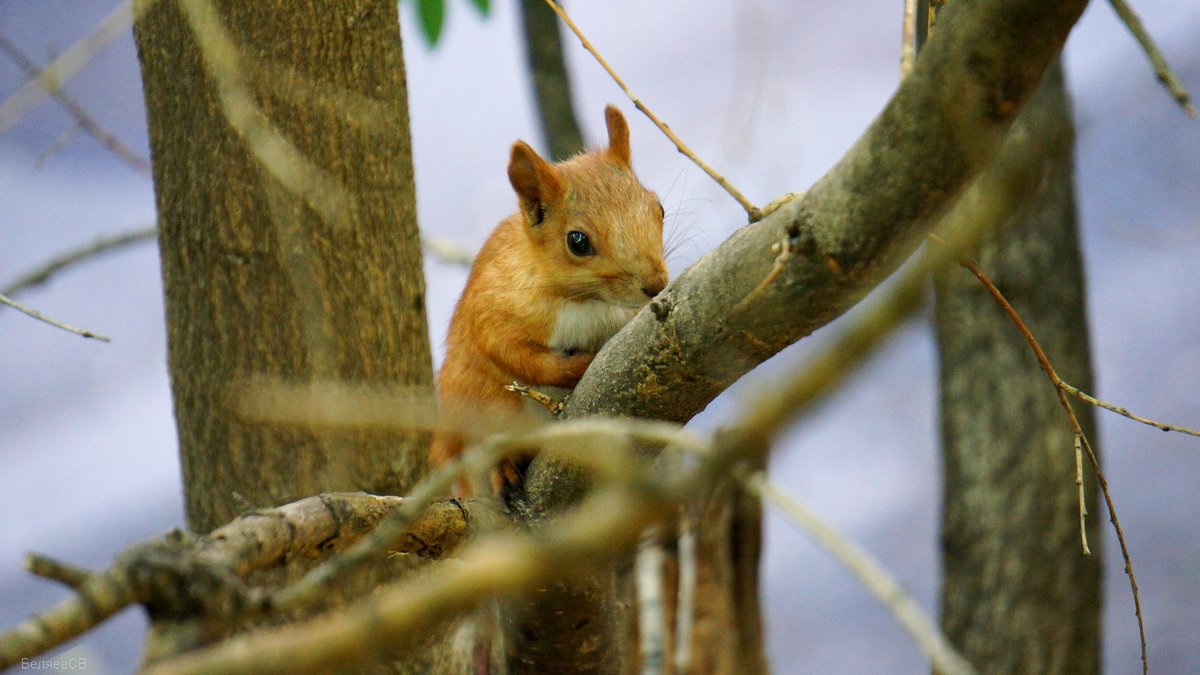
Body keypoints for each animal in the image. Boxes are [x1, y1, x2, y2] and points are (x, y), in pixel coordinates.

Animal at [432, 106, 672, 494]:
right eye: (577, 241)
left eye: (658, 208)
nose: (657, 284)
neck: (586, 302)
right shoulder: (493, 305)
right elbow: (512, 353)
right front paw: (575, 367)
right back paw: (503, 469)